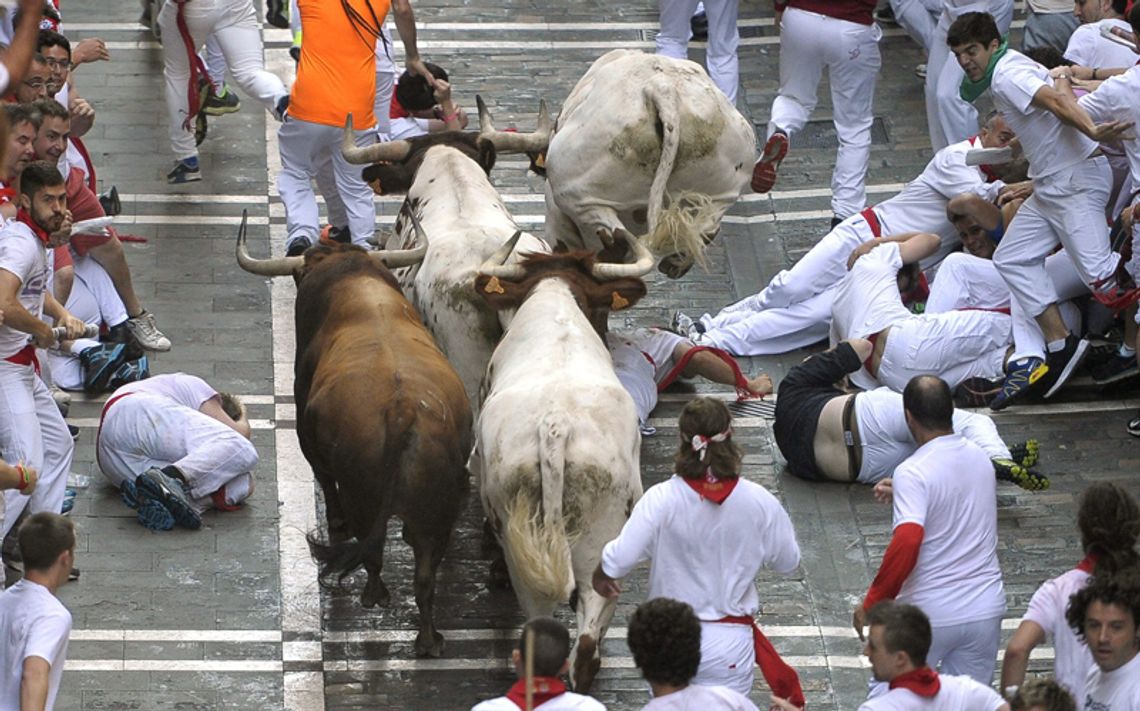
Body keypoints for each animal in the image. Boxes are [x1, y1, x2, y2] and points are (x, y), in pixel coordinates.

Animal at [235, 208, 471, 656]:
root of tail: (402, 412)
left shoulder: (308, 437)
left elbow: (326, 484)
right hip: (440, 506)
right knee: (425, 573)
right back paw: (429, 639)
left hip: (365, 495)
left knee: (373, 551)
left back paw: (373, 596)